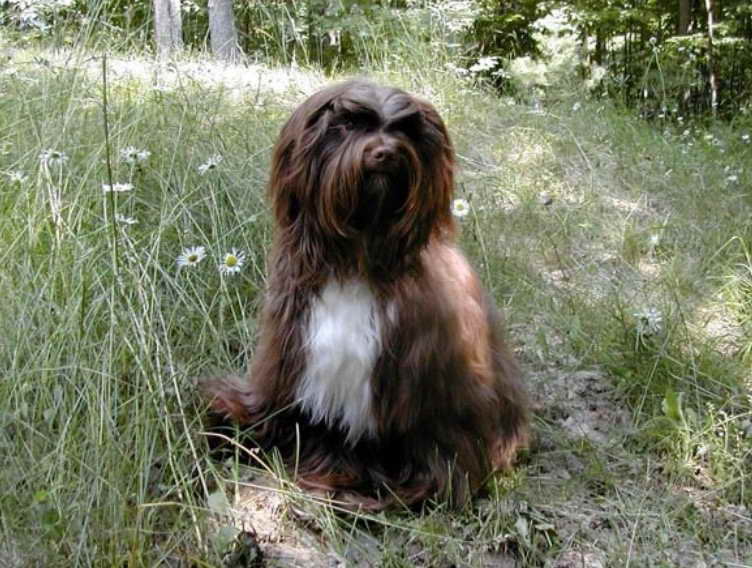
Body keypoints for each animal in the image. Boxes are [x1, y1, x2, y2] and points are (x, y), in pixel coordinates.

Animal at [203, 80, 524, 510]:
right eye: (348, 125)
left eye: (405, 130)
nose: (385, 152)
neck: (357, 258)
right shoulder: (291, 349)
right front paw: (236, 424)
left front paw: (343, 479)